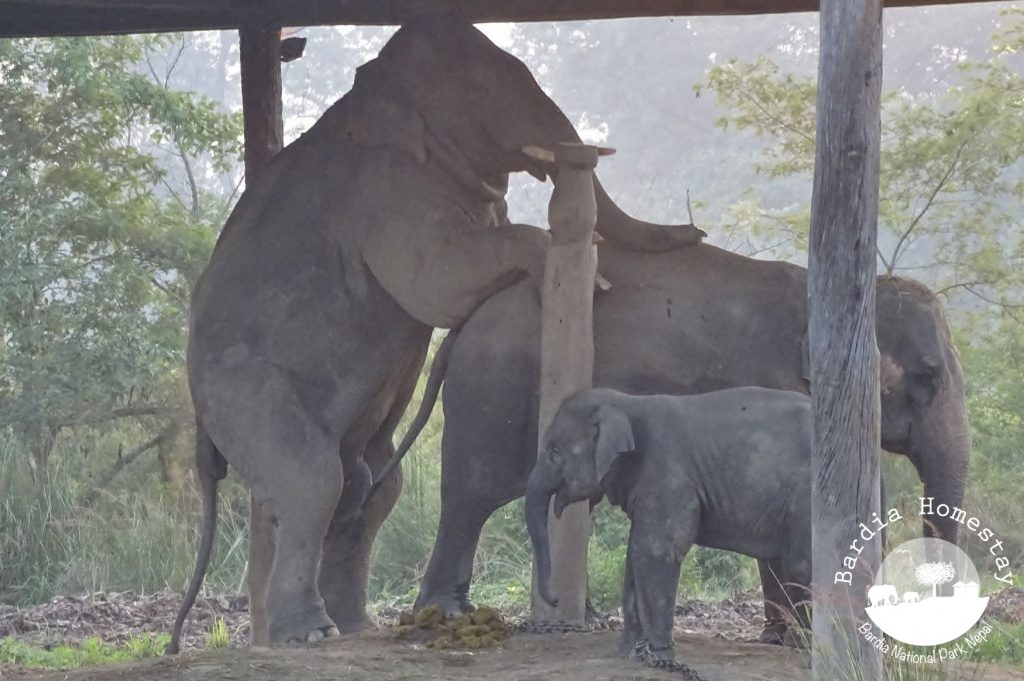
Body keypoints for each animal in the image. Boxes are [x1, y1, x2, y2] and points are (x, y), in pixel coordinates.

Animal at [167, 16, 703, 650]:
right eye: (482, 90)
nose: (698, 230)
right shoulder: (387, 194)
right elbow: (440, 282)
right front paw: (578, 271)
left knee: (368, 487)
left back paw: (353, 626)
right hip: (241, 389)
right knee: (312, 479)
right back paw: (312, 634)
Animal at [527, 387, 814, 662]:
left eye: (554, 452)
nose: (555, 599)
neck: (627, 402)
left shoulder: (668, 477)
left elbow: (656, 551)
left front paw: (658, 656)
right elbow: (635, 551)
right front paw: (627, 651)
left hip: (805, 499)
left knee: (801, 563)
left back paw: (802, 645)